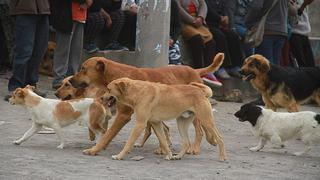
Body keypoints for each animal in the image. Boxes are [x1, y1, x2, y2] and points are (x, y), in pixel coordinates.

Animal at [70, 52, 225, 156]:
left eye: (83, 68)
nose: (70, 80)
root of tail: (195, 69)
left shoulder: (123, 115)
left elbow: (108, 134)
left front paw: (94, 149)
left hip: (196, 112)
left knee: (200, 130)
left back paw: (196, 147)